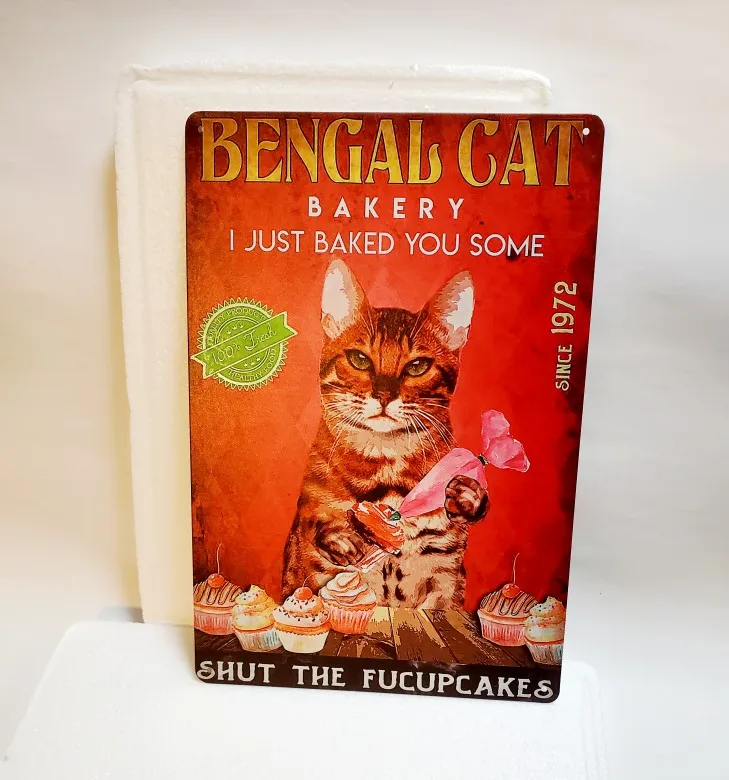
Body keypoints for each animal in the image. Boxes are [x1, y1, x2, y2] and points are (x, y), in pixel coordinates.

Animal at [282, 258, 489, 609]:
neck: (387, 465)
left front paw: (466, 495)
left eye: (417, 367)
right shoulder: (315, 568)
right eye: (359, 359)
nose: (384, 396)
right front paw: (339, 539)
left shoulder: (444, 577)